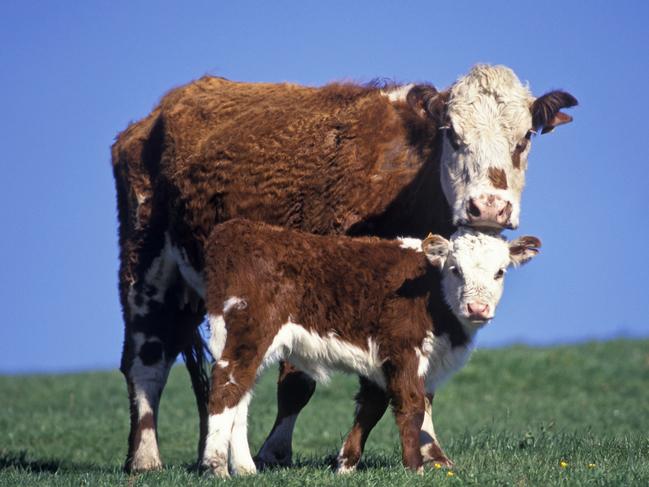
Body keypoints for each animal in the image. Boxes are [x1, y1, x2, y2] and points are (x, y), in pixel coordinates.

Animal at [200, 218, 540, 476]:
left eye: (500, 272)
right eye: (455, 269)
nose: (477, 308)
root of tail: (240, 228)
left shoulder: (385, 362)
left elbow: (372, 407)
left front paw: (346, 464)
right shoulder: (403, 350)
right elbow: (411, 406)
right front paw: (415, 467)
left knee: (241, 393)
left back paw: (245, 469)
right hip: (252, 332)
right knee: (226, 384)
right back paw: (215, 465)